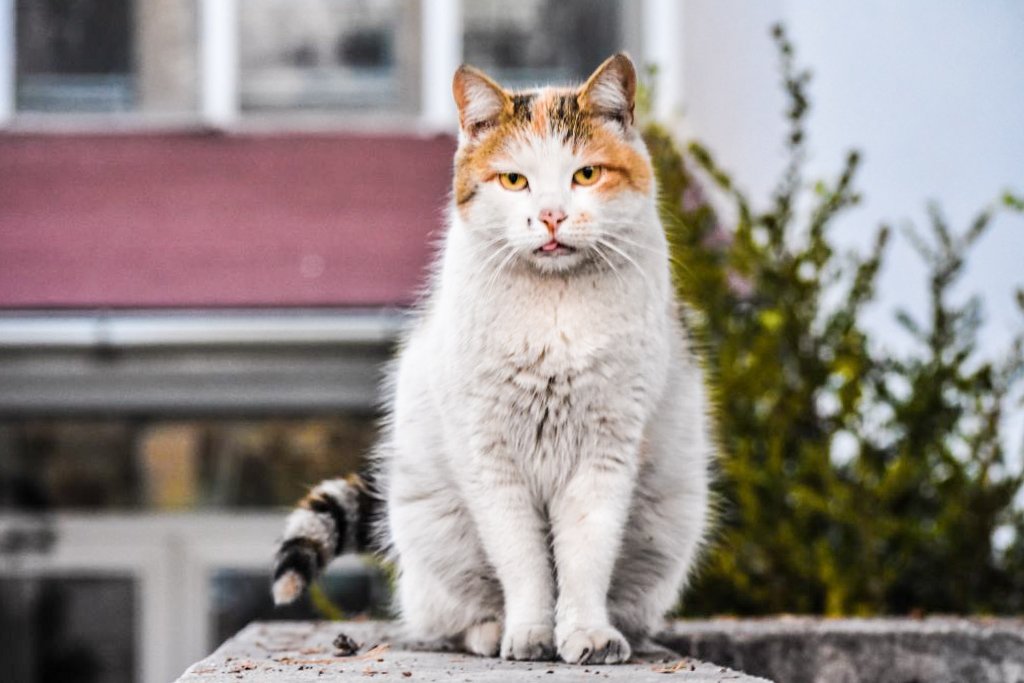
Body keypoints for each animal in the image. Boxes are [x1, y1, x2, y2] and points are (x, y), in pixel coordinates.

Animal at [276, 54, 716, 667]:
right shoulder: (491, 457)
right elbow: (524, 561)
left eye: (585, 175)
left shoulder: (605, 452)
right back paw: (489, 631)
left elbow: (585, 557)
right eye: (514, 180)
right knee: (450, 617)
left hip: (666, 526)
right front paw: (529, 633)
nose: (552, 216)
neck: (554, 309)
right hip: (437, 530)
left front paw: (586, 633)